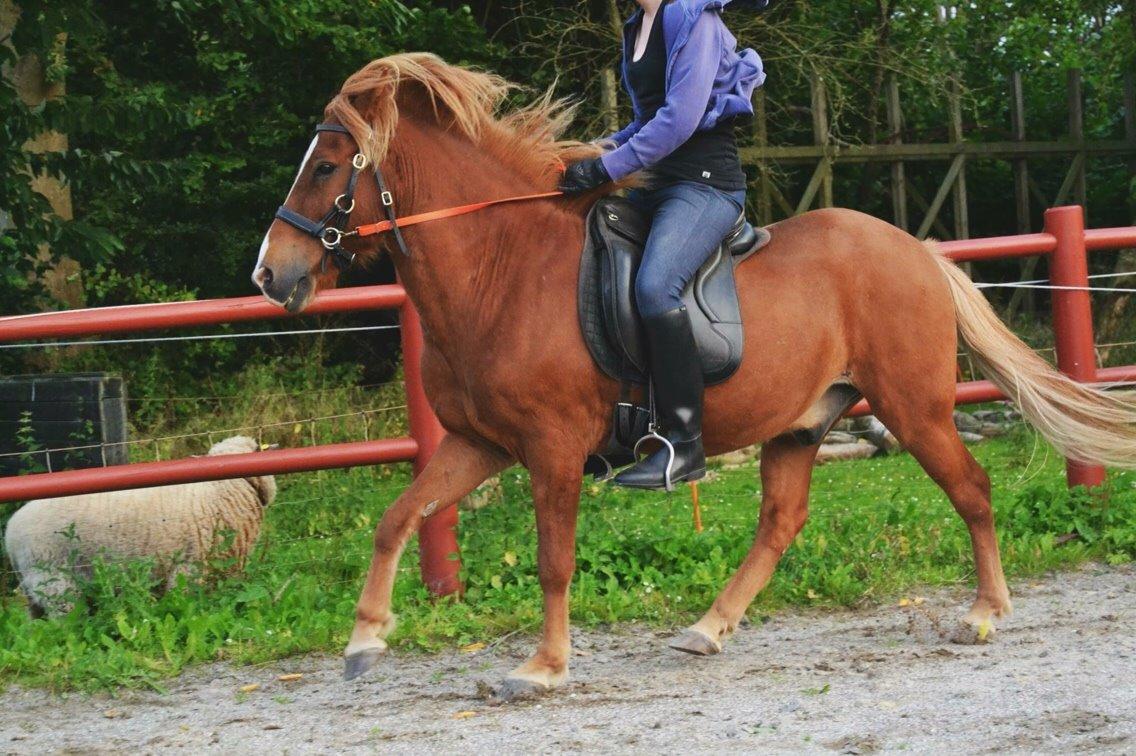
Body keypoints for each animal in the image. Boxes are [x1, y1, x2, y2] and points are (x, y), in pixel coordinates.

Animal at [255, 54, 1136, 700]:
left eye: (327, 166)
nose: (270, 274)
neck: (500, 270)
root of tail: (916, 250)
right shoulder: (479, 443)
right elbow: (396, 519)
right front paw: (365, 640)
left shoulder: (550, 448)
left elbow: (553, 559)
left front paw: (541, 667)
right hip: (801, 424)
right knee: (781, 522)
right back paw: (709, 627)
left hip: (915, 408)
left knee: (973, 491)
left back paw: (983, 614)